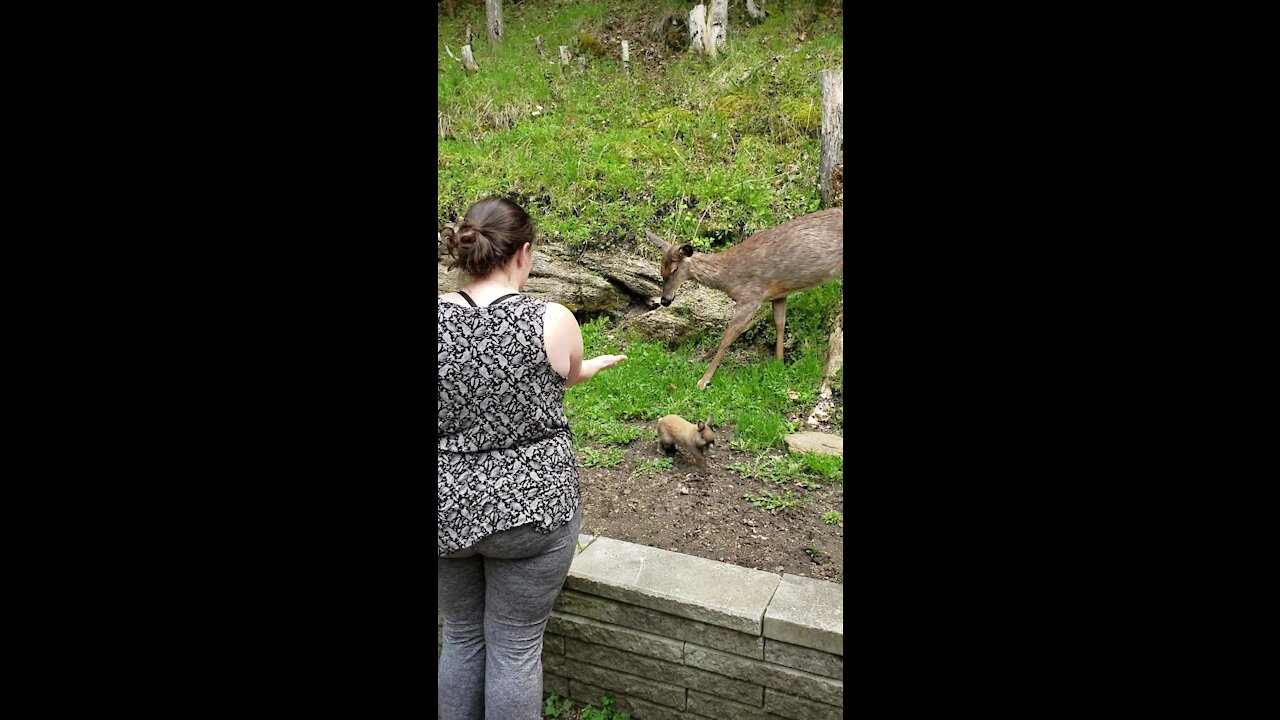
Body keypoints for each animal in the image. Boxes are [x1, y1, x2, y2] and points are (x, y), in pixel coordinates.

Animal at [645, 204, 844, 389]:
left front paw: (703, 380)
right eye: (661, 270)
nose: (665, 300)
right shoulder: (778, 293)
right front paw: (779, 363)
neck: (728, 277)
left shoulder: (751, 296)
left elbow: (728, 337)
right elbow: (780, 324)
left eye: (674, 269)